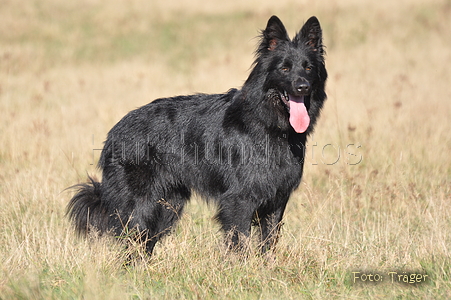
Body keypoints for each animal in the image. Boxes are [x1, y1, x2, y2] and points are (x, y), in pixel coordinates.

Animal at [67, 15, 328, 255]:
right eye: (284, 68)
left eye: (308, 68)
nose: (302, 87)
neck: (267, 124)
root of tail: (115, 131)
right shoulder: (239, 201)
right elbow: (240, 243)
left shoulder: (276, 201)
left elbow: (268, 244)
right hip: (141, 206)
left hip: (167, 207)